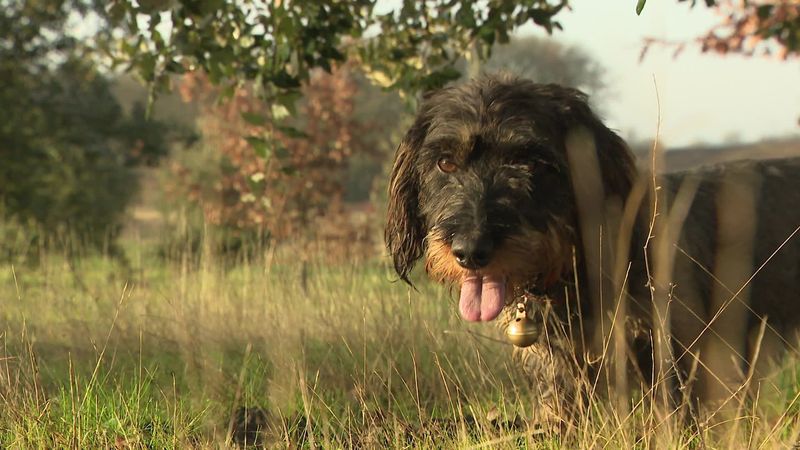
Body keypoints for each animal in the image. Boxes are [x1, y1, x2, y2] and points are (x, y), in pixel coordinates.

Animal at [384, 74, 800, 426]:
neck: (576, 267)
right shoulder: (560, 375)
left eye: (527, 162)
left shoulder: (678, 362)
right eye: (445, 163)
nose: (470, 251)